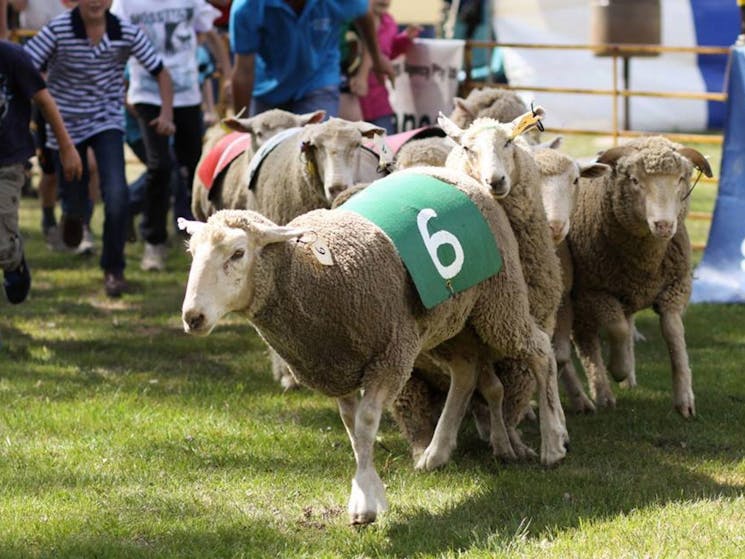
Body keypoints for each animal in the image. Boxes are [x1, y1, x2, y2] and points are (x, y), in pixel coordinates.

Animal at [177, 166, 568, 524]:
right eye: (192, 252)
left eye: (237, 253)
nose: (192, 317)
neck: (315, 272)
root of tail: (451, 173)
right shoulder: (335, 367)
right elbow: (352, 430)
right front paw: (370, 492)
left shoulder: (390, 357)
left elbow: (366, 423)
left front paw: (365, 503)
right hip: (445, 321)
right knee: (466, 370)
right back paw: (438, 452)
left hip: (499, 301)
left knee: (540, 351)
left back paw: (553, 441)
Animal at [568, 136, 712, 416]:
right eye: (634, 180)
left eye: (681, 178)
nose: (664, 225)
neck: (646, 261)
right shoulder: (594, 292)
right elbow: (618, 328)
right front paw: (618, 368)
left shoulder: (675, 288)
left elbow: (673, 333)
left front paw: (684, 399)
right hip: (578, 299)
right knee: (586, 341)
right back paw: (602, 392)